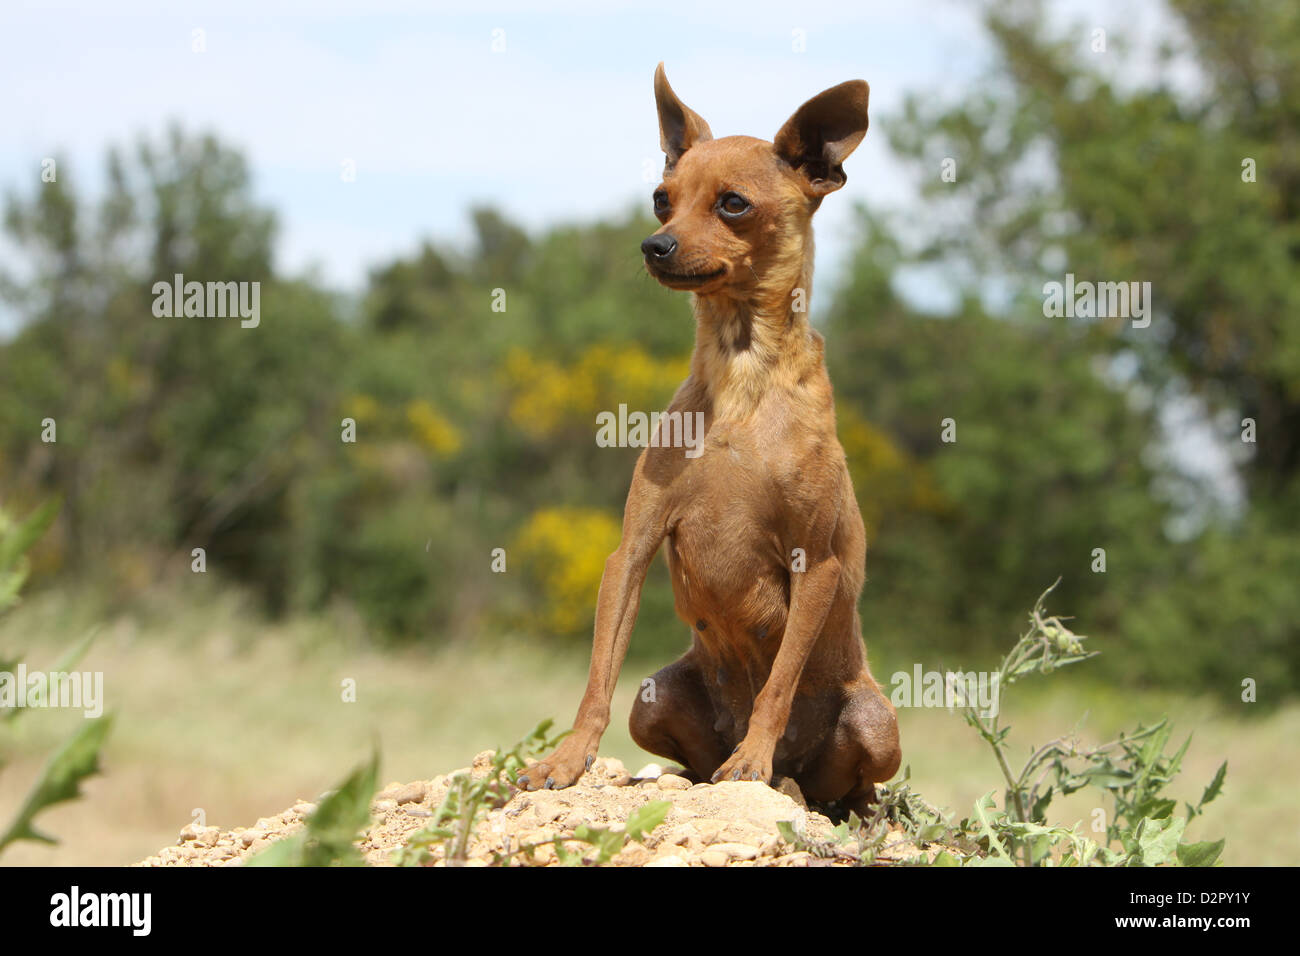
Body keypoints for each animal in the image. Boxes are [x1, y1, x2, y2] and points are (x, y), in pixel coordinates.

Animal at [512, 63, 899, 811]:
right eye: (662, 199)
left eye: (733, 205)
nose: (653, 245)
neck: (741, 379)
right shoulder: (631, 551)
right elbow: (596, 679)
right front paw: (566, 761)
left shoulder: (817, 567)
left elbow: (778, 684)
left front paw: (751, 760)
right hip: (654, 698)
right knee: (687, 751)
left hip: (875, 720)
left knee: (852, 787)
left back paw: (800, 784)